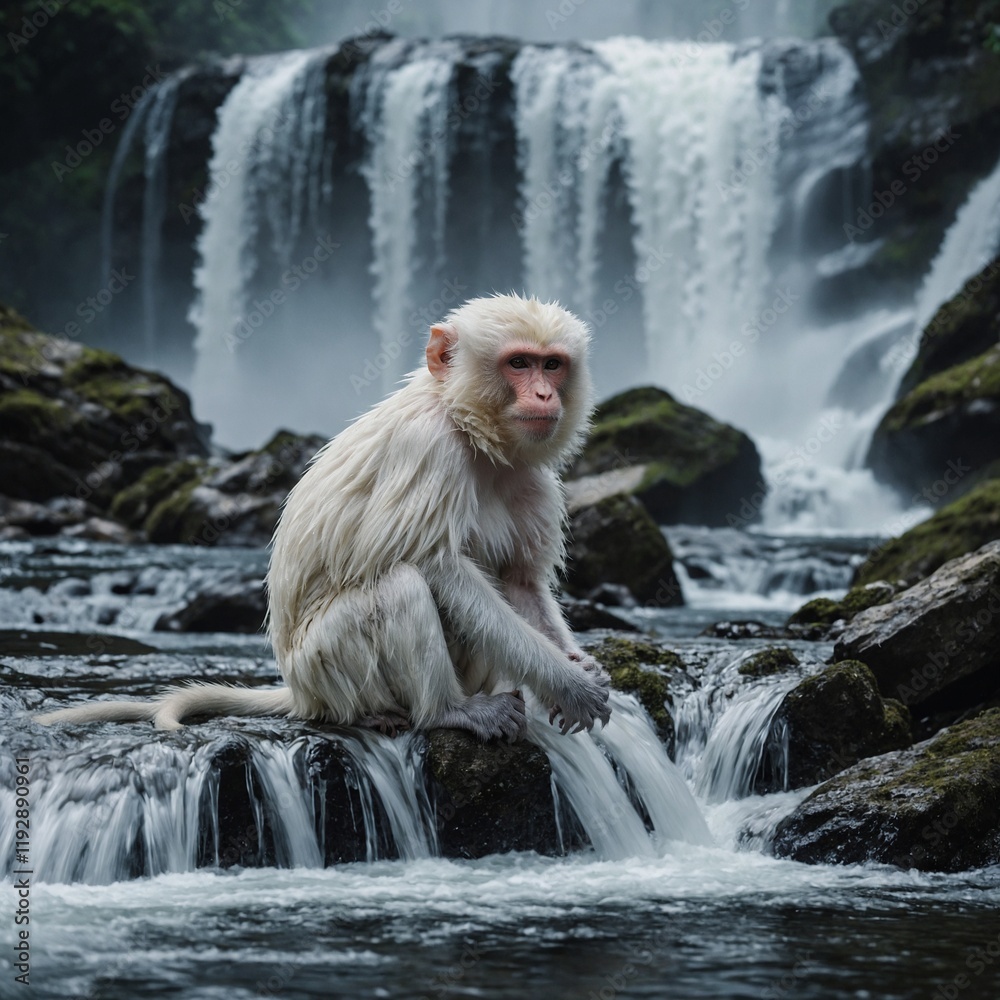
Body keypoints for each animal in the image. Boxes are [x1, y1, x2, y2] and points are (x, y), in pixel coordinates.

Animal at [36, 293, 611, 742]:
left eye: (551, 365)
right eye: (519, 364)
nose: (545, 394)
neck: (469, 428)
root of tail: (301, 692)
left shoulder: (531, 477)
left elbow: (519, 582)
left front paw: (576, 669)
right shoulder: (427, 449)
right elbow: (440, 569)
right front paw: (570, 684)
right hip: (329, 666)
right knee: (402, 583)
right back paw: (445, 712)